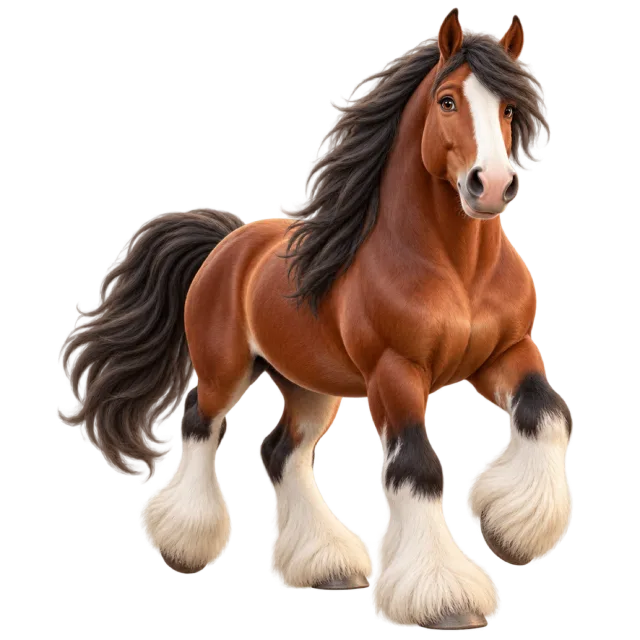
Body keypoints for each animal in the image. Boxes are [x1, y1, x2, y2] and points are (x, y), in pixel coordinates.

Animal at [58, 9, 573, 631]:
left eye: (509, 108)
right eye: (448, 100)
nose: (492, 184)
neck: (457, 268)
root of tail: (228, 242)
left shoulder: (506, 353)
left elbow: (547, 415)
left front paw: (509, 530)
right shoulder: (397, 374)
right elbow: (419, 468)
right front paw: (444, 598)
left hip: (310, 390)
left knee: (281, 452)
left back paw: (324, 567)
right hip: (224, 373)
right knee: (201, 427)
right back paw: (184, 544)